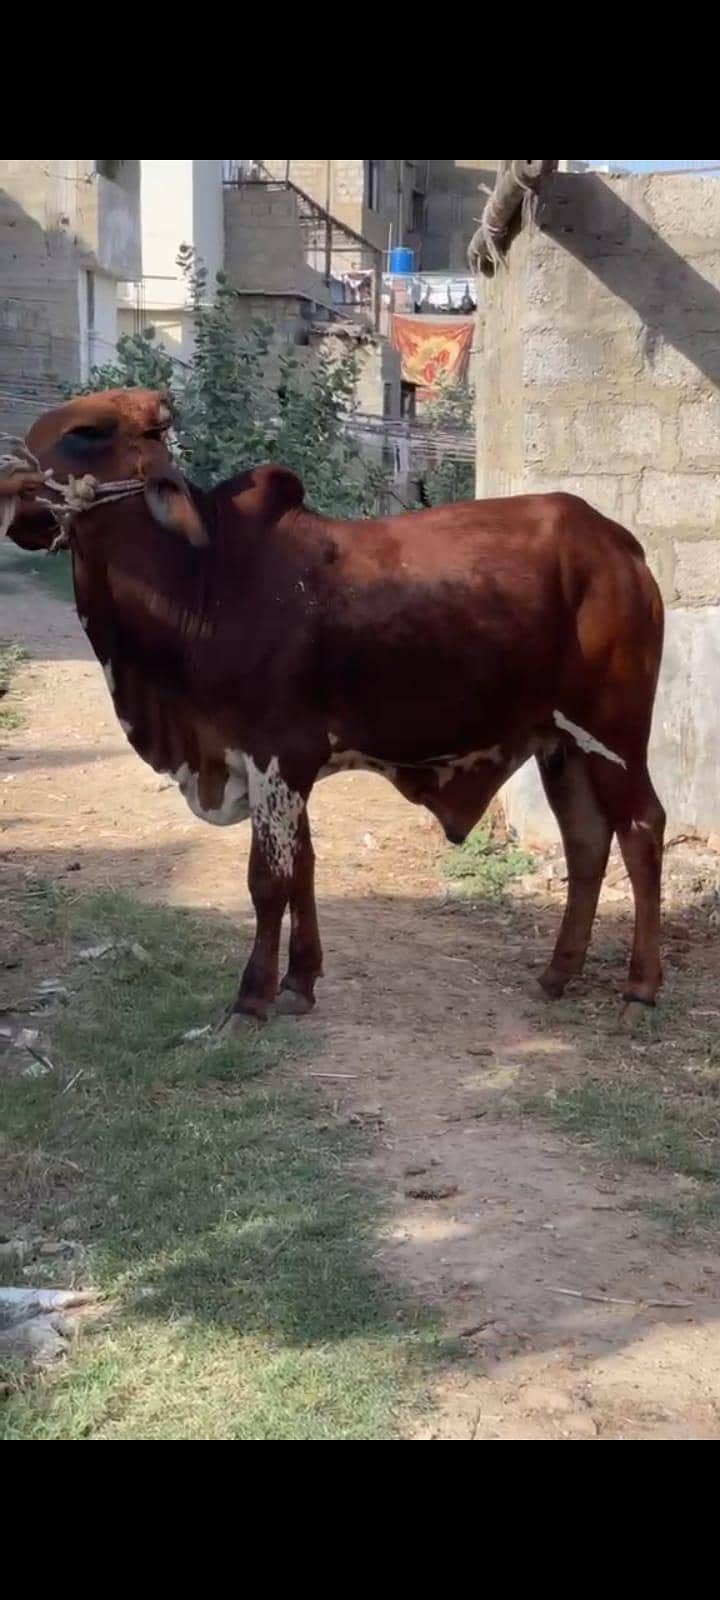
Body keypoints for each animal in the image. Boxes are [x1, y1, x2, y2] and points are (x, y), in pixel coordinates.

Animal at [1, 388, 666, 1028]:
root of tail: (621, 545)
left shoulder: (277, 756)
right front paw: (299, 982)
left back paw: (640, 988)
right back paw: (558, 973)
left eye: (87, 432)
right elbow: (304, 867)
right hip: (562, 744)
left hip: (613, 734)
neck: (202, 580)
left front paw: (252, 999)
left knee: (641, 830)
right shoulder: (282, 768)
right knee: (586, 839)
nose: (10, 478)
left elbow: (269, 880)